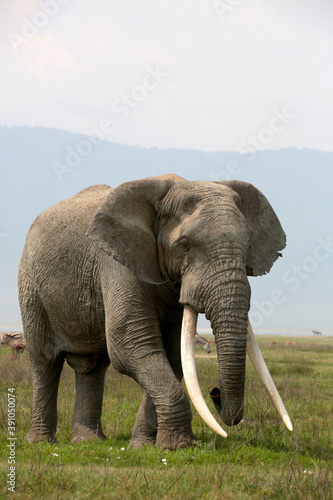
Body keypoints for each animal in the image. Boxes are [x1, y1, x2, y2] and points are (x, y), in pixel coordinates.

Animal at [18, 174, 290, 452]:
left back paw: (89, 441)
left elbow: (170, 355)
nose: (216, 393)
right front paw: (178, 446)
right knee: (44, 360)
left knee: (93, 367)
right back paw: (41, 442)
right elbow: (131, 345)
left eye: (248, 245)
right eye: (184, 245)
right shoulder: (117, 264)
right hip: (30, 284)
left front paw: (145, 445)